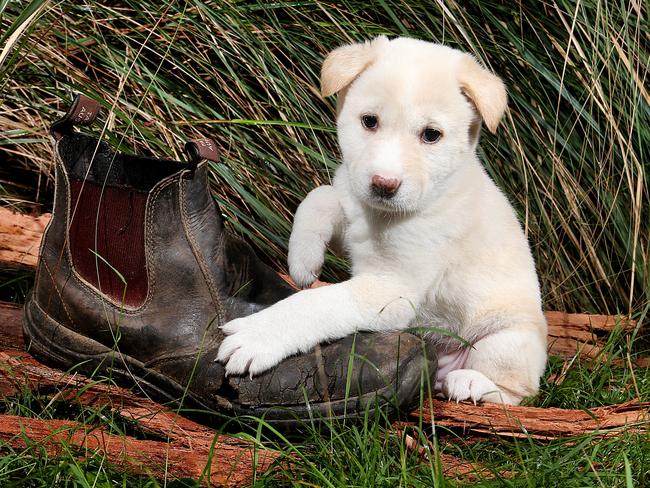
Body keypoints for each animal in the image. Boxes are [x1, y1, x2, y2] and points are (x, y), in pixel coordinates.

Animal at [218, 37, 548, 404]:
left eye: (431, 135)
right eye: (369, 121)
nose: (384, 185)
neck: (379, 215)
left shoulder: (392, 290)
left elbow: (318, 301)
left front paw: (260, 334)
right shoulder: (350, 210)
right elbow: (320, 195)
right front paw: (303, 260)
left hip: (510, 337)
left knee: (517, 390)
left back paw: (469, 383)